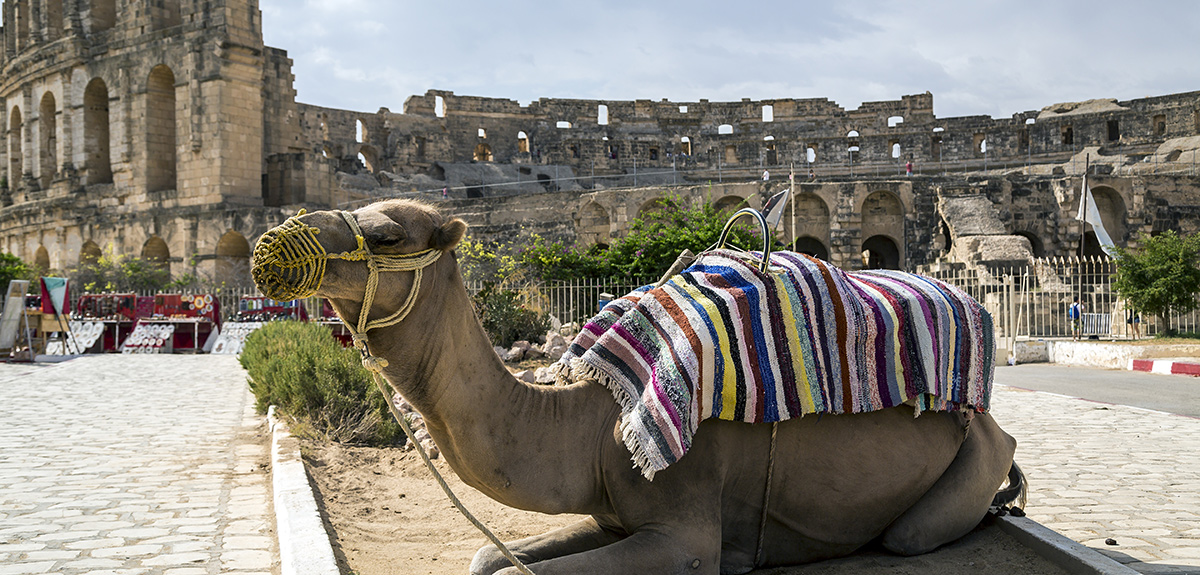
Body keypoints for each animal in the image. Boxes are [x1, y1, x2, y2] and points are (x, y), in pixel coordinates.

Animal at [253, 199, 1022, 575]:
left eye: (385, 234)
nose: (272, 243)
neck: (590, 422)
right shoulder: (609, 515)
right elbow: (485, 557)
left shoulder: (684, 531)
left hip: (961, 468)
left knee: (915, 531)